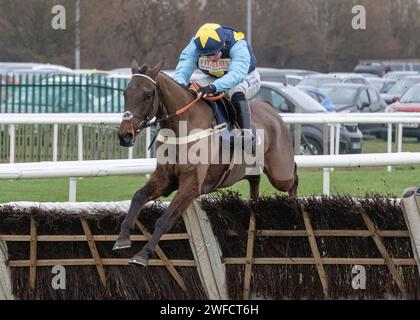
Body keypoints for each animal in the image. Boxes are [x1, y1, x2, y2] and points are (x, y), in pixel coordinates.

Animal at [115, 57, 296, 264]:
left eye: (147, 94)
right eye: (125, 92)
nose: (124, 135)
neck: (183, 127)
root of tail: (270, 108)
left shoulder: (192, 184)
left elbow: (165, 219)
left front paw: (143, 255)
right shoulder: (164, 178)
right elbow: (138, 196)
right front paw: (122, 238)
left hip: (280, 173)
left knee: (293, 177)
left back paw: (293, 208)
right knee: (255, 180)